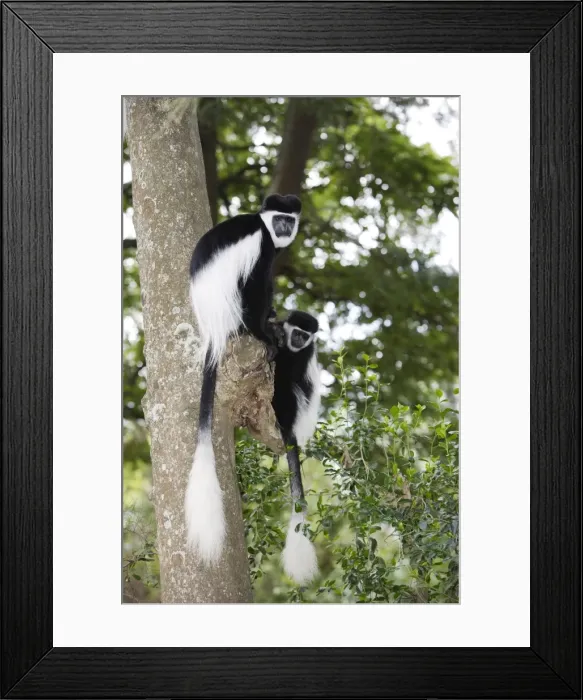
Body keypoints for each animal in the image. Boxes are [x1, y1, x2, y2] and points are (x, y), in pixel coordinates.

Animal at [185, 194, 301, 564]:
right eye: (279, 219)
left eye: (290, 220)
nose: (284, 228)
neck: (263, 225)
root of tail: (213, 331)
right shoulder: (260, 246)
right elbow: (258, 284)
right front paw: (267, 330)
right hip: (234, 307)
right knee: (251, 288)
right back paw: (261, 334)